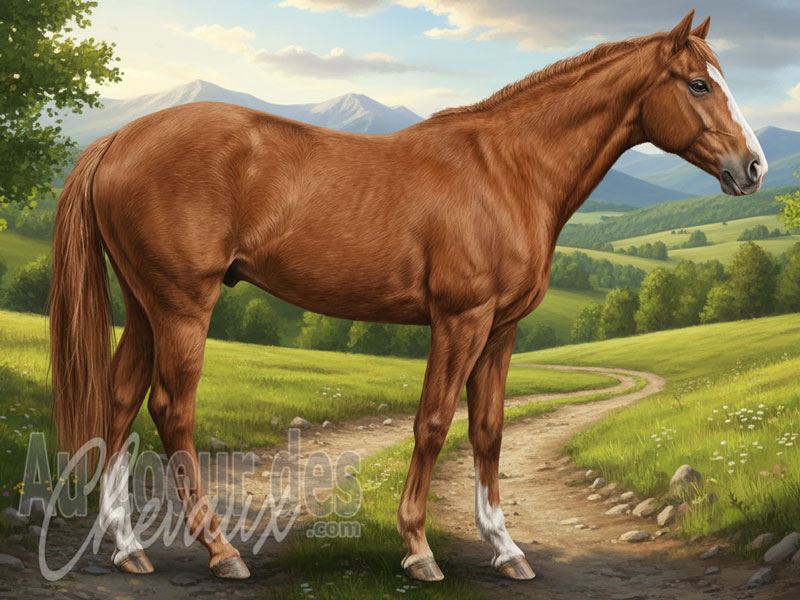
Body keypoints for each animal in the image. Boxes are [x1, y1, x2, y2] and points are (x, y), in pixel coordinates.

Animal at [49, 10, 766, 583]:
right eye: (698, 84)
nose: (753, 167)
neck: (509, 169)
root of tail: (120, 137)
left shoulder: (501, 329)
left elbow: (488, 429)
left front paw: (506, 549)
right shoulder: (460, 320)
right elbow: (433, 423)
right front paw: (420, 550)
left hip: (146, 305)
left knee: (119, 400)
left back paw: (129, 549)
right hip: (182, 306)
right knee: (171, 409)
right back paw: (221, 552)